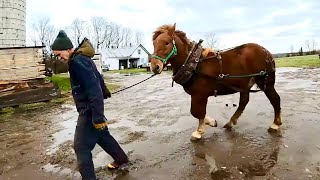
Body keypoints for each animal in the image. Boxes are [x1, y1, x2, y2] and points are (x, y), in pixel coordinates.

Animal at [149, 23, 280, 140]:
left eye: (167, 43)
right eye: (154, 44)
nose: (155, 66)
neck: (194, 64)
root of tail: (266, 51)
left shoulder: (199, 95)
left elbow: (196, 112)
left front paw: (203, 128)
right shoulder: (198, 96)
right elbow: (197, 112)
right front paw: (205, 126)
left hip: (265, 82)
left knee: (275, 99)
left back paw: (275, 124)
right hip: (245, 85)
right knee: (244, 102)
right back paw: (230, 123)